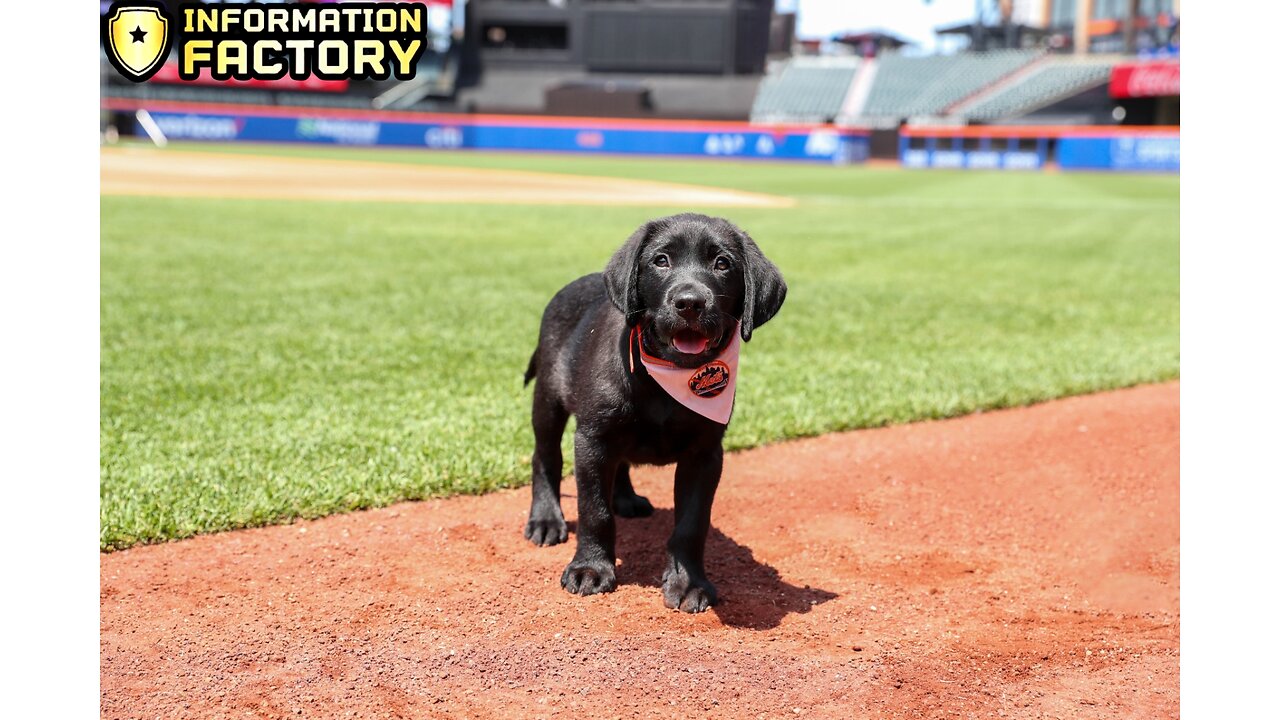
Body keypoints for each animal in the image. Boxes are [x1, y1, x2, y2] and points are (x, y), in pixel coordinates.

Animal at [517, 211, 778, 609]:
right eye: (661, 260)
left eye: (722, 264)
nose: (690, 303)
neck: (667, 378)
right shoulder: (592, 439)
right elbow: (594, 510)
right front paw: (590, 568)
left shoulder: (705, 454)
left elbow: (692, 523)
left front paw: (688, 583)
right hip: (548, 398)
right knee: (545, 457)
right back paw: (546, 520)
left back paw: (625, 498)